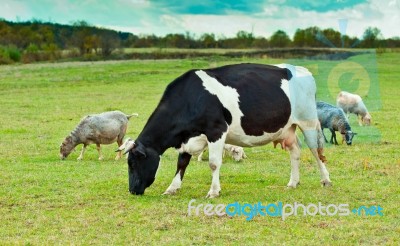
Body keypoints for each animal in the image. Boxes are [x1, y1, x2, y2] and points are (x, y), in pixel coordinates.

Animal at [128, 63, 332, 198]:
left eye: (133, 163)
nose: (132, 190)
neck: (191, 98)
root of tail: (302, 70)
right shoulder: (187, 138)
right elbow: (182, 163)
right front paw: (172, 188)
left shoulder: (216, 131)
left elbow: (213, 163)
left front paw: (213, 191)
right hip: (287, 128)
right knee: (295, 151)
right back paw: (293, 182)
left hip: (308, 121)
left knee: (316, 151)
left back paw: (326, 180)